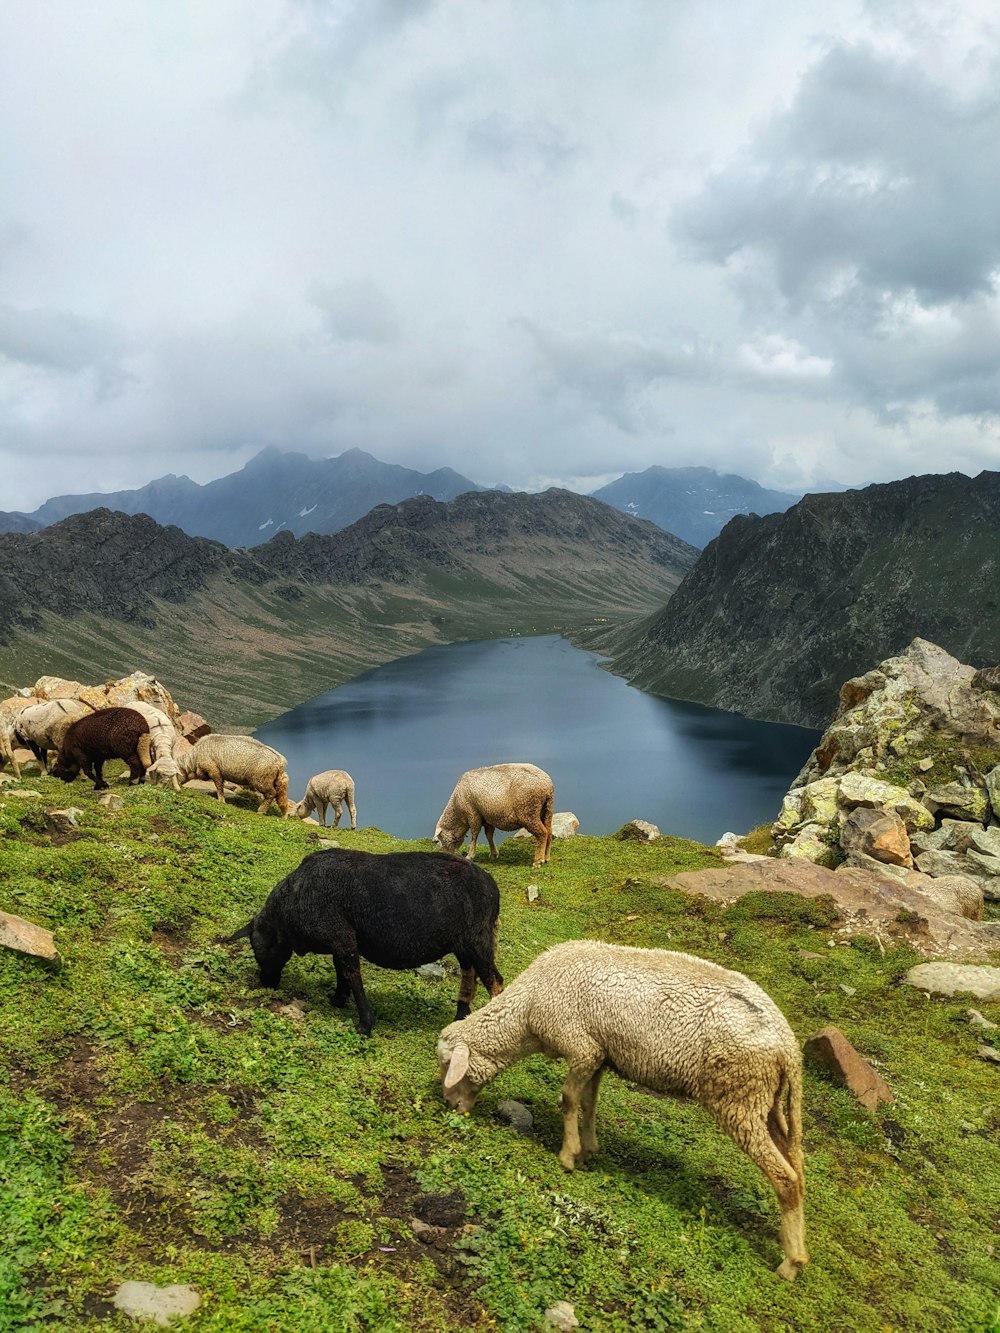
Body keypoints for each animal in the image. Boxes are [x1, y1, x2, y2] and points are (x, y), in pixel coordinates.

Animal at [228, 847, 509, 1034]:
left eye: (259, 948)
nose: (267, 983)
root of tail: (491, 887)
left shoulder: (341, 936)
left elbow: (352, 975)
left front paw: (364, 1023)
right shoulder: (340, 939)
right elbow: (340, 969)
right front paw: (338, 999)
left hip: (477, 939)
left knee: (495, 982)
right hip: (464, 944)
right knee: (470, 974)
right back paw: (460, 1017)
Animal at [440, 938, 816, 1279]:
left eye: (447, 1064)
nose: (449, 1105)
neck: (527, 1012)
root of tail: (788, 1046)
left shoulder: (581, 1046)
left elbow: (569, 1099)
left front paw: (568, 1154)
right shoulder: (600, 1053)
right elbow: (589, 1102)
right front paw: (588, 1148)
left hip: (739, 1096)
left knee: (786, 1178)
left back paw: (790, 1264)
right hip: (768, 1103)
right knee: (796, 1169)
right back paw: (793, 1243)